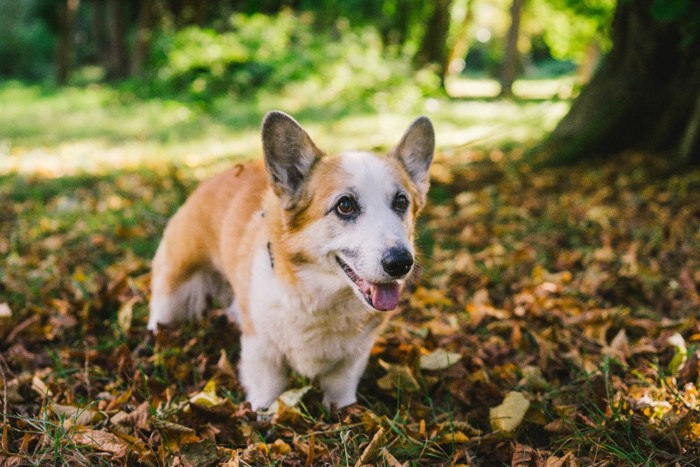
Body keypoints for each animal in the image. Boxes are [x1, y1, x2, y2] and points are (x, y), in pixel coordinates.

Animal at [147, 112, 432, 410]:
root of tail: (211, 179)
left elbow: (341, 393)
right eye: (345, 205)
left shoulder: (351, 361)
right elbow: (267, 393)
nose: (401, 262)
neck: (321, 297)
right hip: (172, 295)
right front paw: (263, 415)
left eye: (401, 202)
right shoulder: (262, 353)